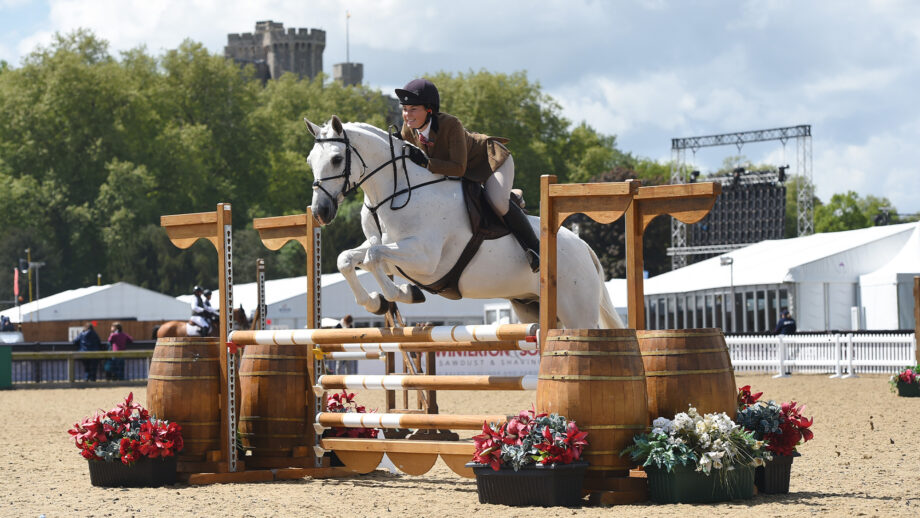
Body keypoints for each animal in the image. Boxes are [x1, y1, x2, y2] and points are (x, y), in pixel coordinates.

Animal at [305, 116, 624, 330]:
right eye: (310, 160)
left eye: (336, 159)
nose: (320, 211)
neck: (397, 191)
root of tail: (584, 248)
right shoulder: (391, 248)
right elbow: (348, 258)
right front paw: (377, 301)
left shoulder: (425, 259)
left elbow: (373, 258)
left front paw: (400, 294)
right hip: (532, 307)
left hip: (577, 312)